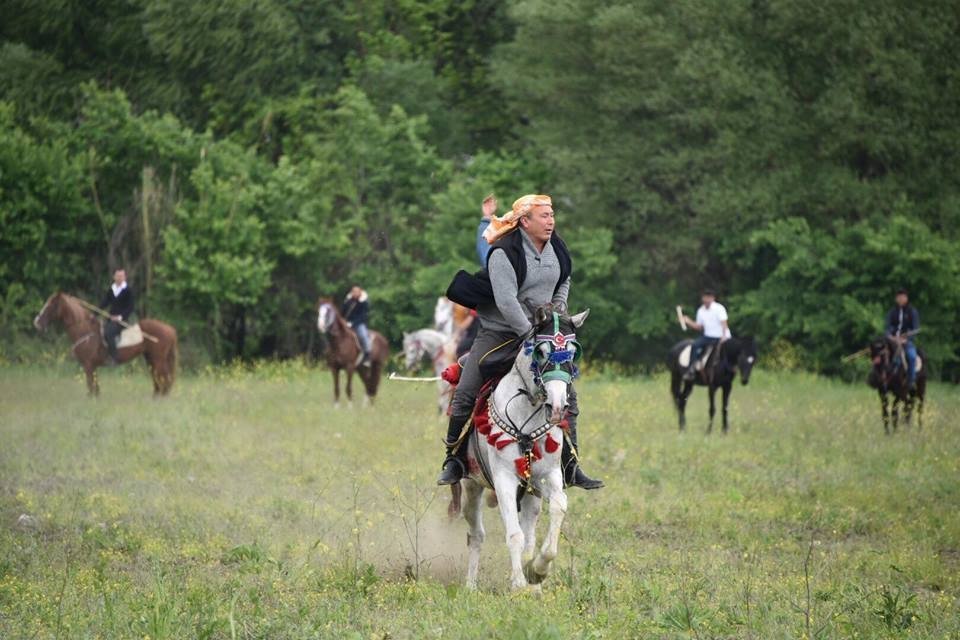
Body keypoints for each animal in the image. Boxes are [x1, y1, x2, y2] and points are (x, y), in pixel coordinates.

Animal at [33, 292, 178, 396]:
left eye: (51, 305)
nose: (37, 323)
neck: (85, 329)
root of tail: (169, 329)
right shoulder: (92, 366)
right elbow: (95, 388)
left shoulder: (88, 365)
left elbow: (91, 386)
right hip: (151, 359)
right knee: (159, 380)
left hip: (158, 360)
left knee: (164, 379)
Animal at [456, 308, 584, 592]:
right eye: (541, 352)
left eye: (572, 352)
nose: (557, 407)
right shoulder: (504, 479)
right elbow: (513, 534)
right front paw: (518, 583)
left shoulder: (548, 476)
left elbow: (559, 506)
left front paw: (537, 570)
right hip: (471, 486)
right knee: (476, 535)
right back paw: (470, 585)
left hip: (530, 495)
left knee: (529, 533)